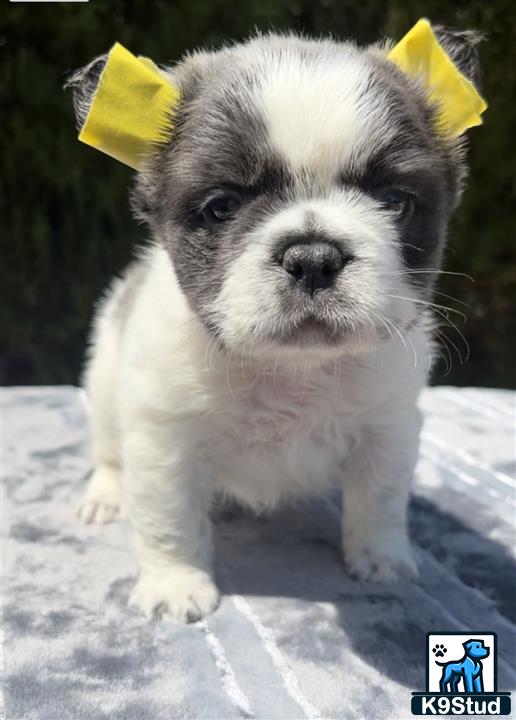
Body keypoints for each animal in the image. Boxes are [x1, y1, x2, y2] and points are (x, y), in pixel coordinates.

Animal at [67, 26, 480, 624]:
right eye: (221, 207)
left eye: (394, 202)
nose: (313, 257)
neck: (290, 368)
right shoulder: (165, 441)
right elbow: (169, 520)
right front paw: (175, 583)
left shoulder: (389, 427)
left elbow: (380, 498)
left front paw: (379, 557)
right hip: (103, 381)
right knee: (106, 449)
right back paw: (105, 494)